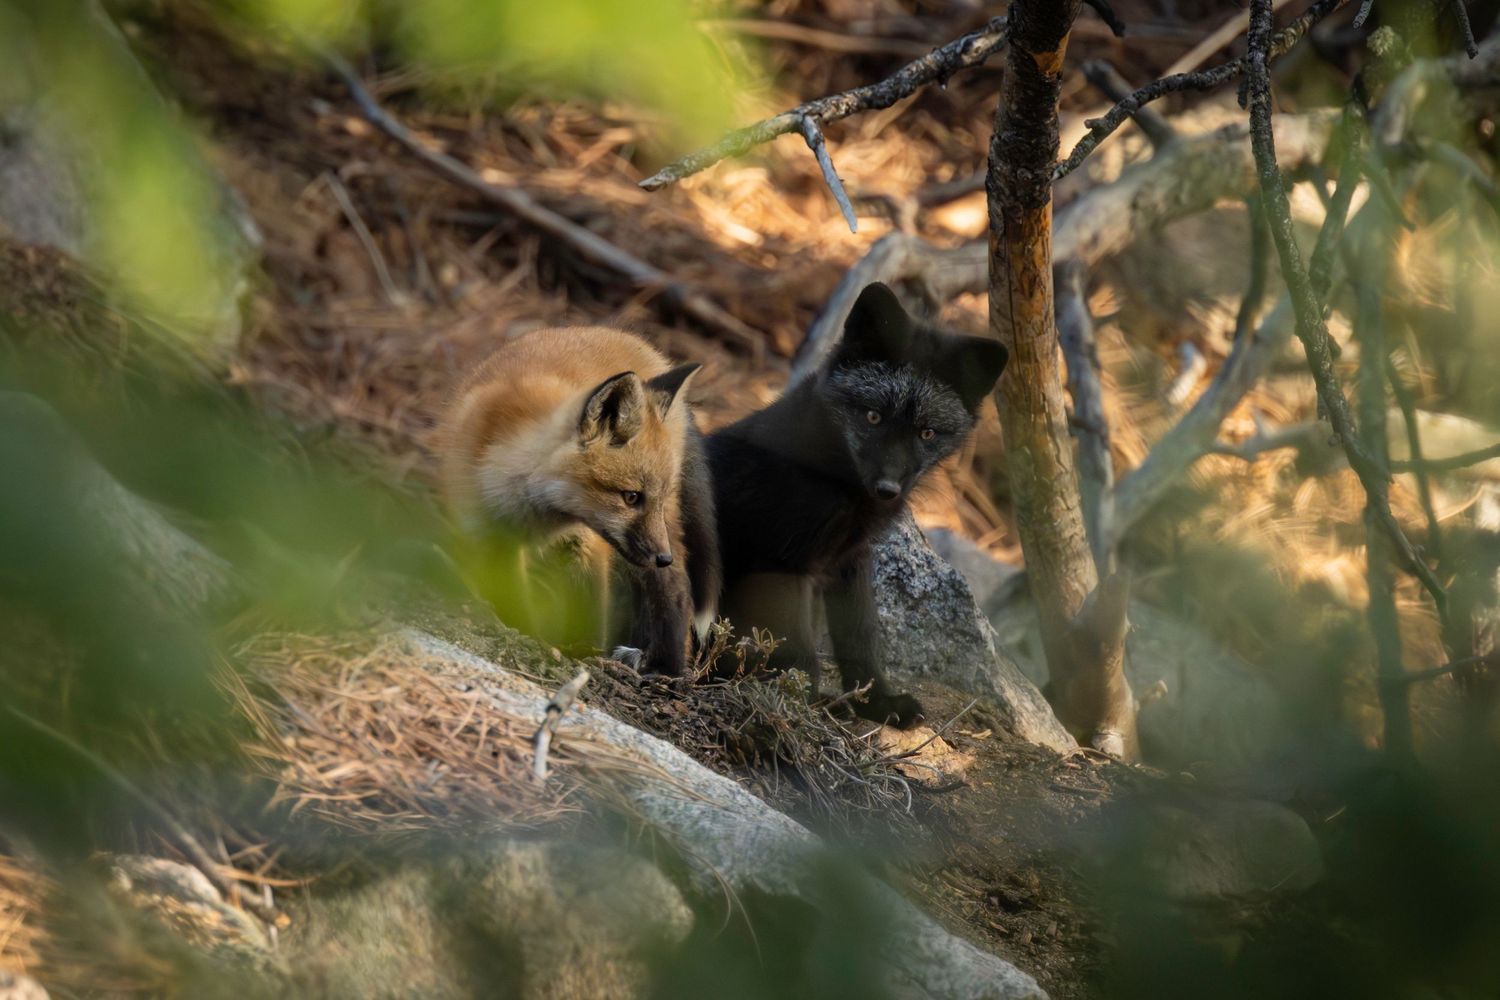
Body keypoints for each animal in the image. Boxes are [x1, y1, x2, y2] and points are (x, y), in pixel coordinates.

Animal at [438, 326, 719, 675]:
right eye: (631, 497)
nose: (662, 557)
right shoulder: (491, 539)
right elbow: (513, 600)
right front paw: (529, 634)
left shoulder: (585, 541)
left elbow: (588, 607)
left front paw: (580, 651)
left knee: (676, 589)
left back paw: (666, 665)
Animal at [705, 282, 1007, 728]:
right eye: (873, 416)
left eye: (927, 433)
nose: (887, 489)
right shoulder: (783, 562)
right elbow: (801, 655)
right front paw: (797, 708)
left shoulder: (850, 560)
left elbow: (861, 638)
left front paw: (877, 702)